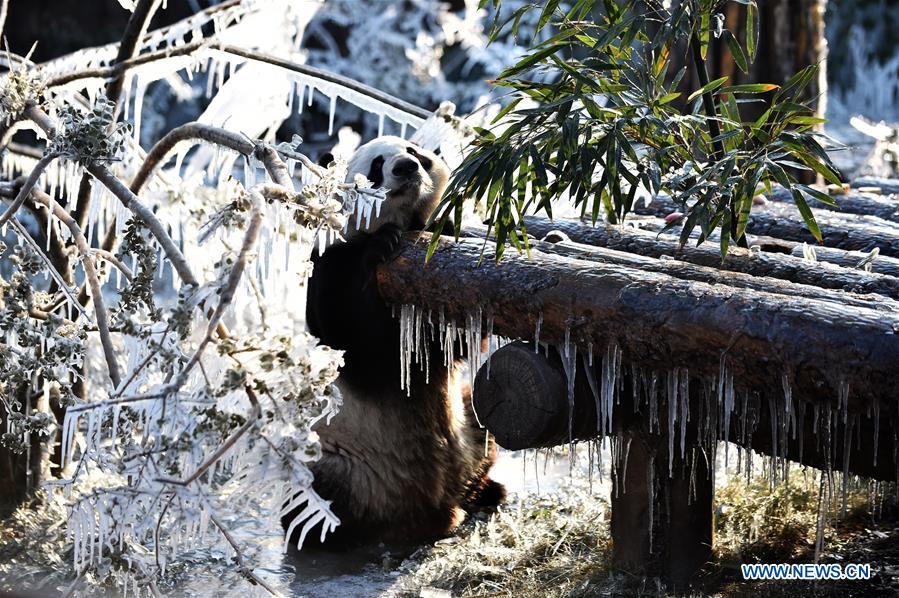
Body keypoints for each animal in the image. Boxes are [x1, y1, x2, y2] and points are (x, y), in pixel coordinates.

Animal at [284, 138, 502, 552]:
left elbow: (450, 344)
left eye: (415, 152)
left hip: (467, 425)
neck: (402, 225)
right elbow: (350, 340)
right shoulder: (330, 262)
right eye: (376, 165)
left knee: (485, 422)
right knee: (314, 502)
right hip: (343, 459)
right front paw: (378, 250)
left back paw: (486, 492)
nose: (405, 167)